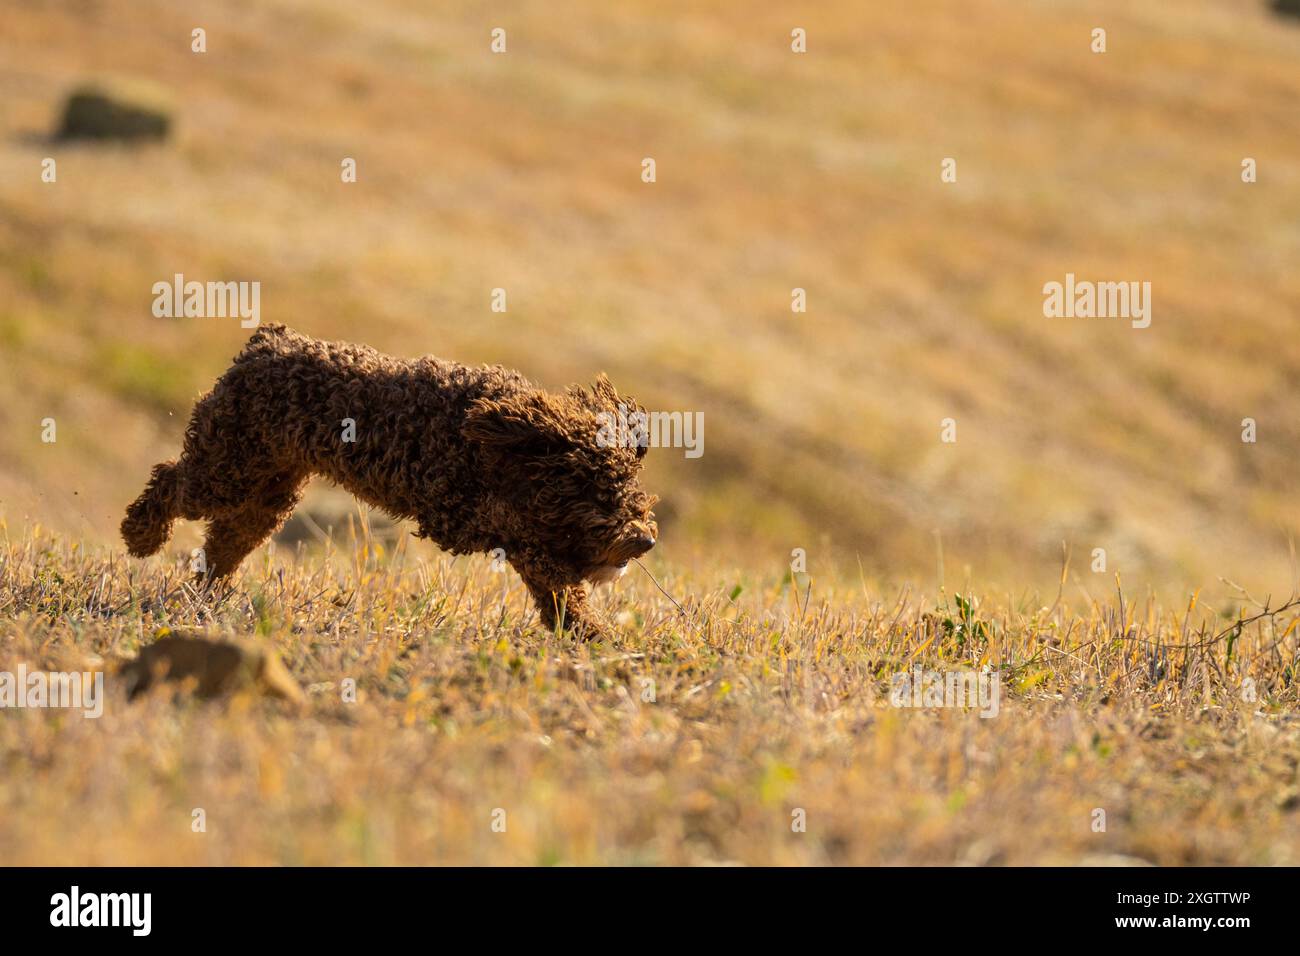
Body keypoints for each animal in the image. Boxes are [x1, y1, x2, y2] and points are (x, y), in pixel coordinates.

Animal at [119, 325, 660, 639]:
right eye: (597, 488)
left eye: (631, 487)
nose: (645, 540)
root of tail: (265, 343)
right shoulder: (472, 514)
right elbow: (547, 564)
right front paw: (587, 622)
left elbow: (558, 581)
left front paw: (584, 630)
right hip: (226, 466)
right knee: (171, 479)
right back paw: (141, 535)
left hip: (268, 491)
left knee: (227, 540)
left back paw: (208, 592)